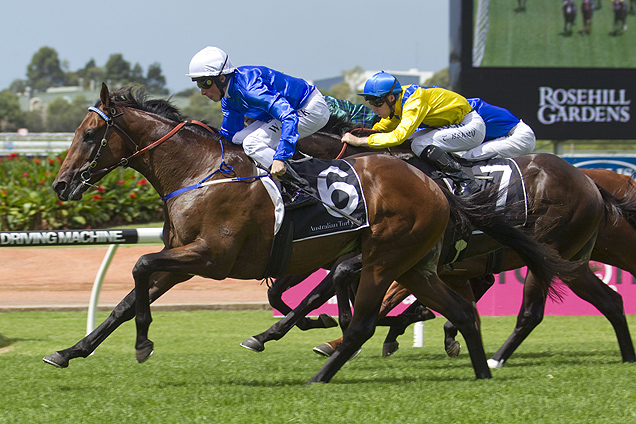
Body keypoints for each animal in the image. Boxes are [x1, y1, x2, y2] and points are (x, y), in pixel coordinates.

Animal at [44, 84, 528, 382]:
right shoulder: (183, 257)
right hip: (412, 262)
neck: (200, 173)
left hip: (386, 257)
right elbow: (127, 300)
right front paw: (70, 351)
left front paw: (144, 341)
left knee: (386, 311)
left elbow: (141, 265)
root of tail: (433, 183)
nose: (61, 185)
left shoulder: (211, 257)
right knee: (461, 307)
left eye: (90, 134)